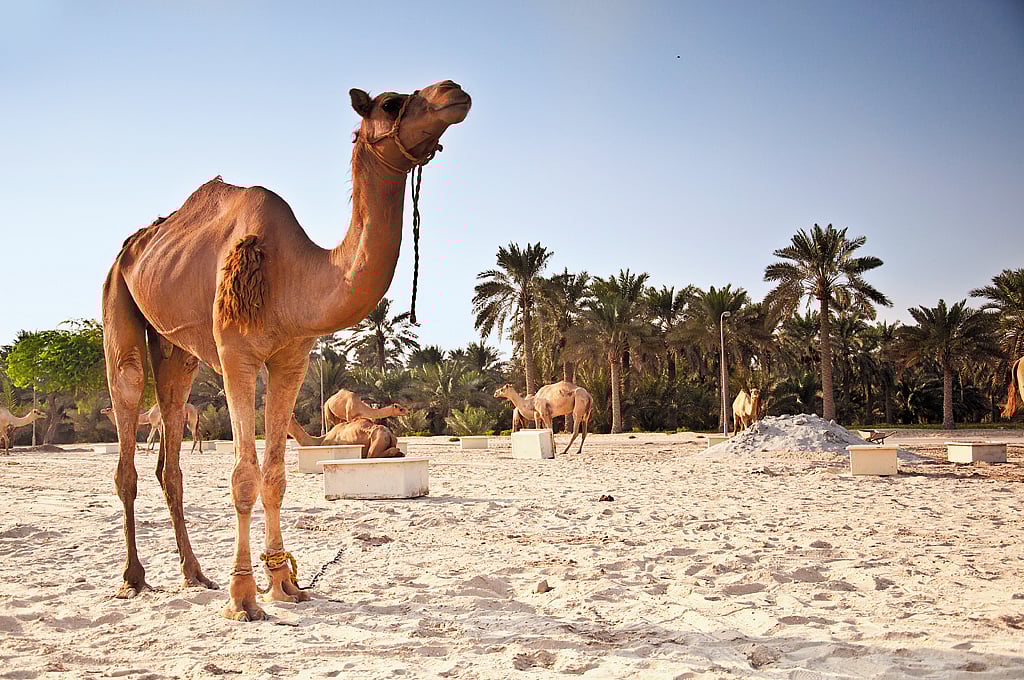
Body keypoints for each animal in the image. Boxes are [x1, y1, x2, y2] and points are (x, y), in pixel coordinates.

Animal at [101, 79, 469, 621]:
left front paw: (284, 584)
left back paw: (195, 574)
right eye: (391, 103)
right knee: (126, 410)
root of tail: (131, 248)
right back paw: (133, 578)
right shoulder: (236, 354)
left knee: (171, 450)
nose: (453, 90)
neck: (297, 276)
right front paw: (243, 598)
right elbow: (243, 475)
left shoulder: (292, 358)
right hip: (117, 300)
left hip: (174, 347)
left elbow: (275, 474)